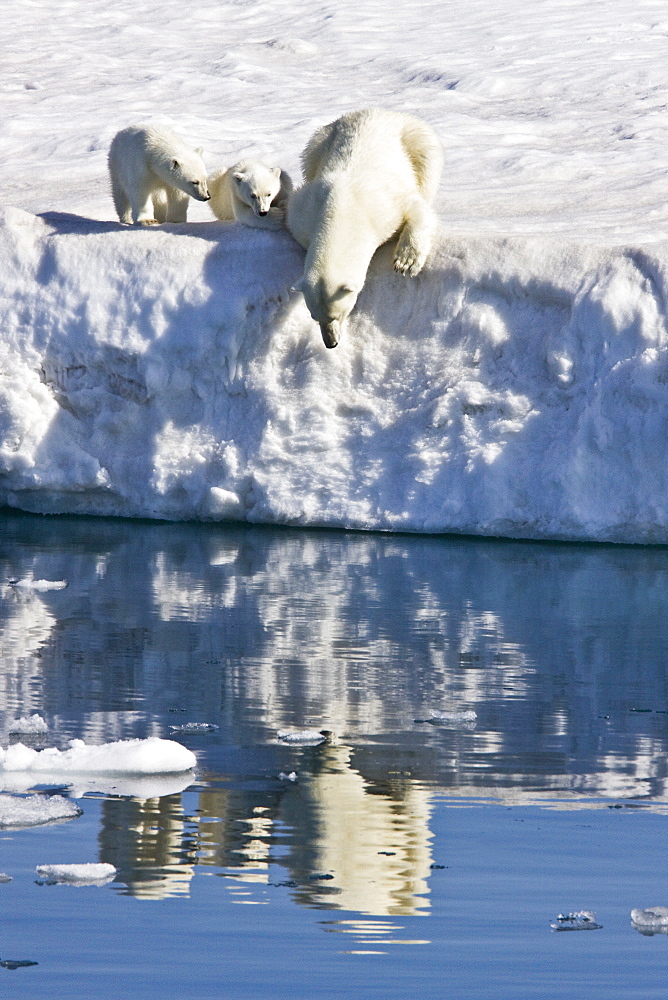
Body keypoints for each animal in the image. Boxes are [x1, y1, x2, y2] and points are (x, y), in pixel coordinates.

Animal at [288, 109, 444, 348]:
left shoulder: (385, 205)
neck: (342, 206)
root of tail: (378, 111)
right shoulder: (305, 213)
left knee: (426, 165)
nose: (330, 343)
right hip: (321, 142)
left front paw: (406, 263)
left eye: (338, 314)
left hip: (414, 137)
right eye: (314, 316)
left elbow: (417, 208)